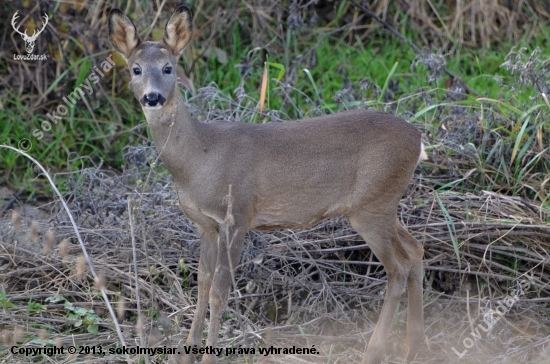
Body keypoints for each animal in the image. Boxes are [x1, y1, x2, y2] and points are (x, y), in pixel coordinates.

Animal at [109, 4, 426, 362]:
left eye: (168, 67)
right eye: (135, 69)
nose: (153, 97)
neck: (198, 159)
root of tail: (418, 139)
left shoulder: (238, 215)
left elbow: (219, 292)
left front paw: (208, 355)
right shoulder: (205, 224)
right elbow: (201, 286)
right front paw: (187, 353)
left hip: (371, 204)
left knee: (398, 267)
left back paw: (375, 350)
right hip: (385, 203)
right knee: (415, 249)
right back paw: (412, 344)